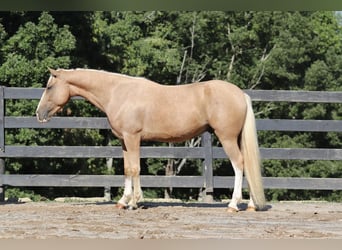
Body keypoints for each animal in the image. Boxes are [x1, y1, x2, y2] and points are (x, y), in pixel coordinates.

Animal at [36, 68, 266, 211]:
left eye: (49, 87)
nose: (39, 113)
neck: (118, 92)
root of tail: (240, 94)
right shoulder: (124, 141)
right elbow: (127, 169)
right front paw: (123, 201)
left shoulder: (133, 138)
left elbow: (135, 169)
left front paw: (136, 202)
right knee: (247, 165)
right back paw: (251, 205)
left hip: (227, 138)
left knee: (239, 164)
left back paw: (233, 205)